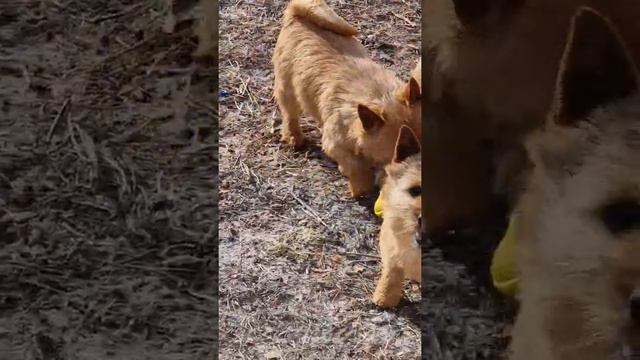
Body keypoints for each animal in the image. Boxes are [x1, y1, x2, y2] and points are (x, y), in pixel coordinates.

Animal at [272, 0, 422, 197]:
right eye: (400, 153)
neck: (378, 95)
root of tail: (296, 12)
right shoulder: (335, 144)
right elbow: (356, 168)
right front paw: (361, 187)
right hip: (287, 89)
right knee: (290, 115)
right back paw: (294, 137)